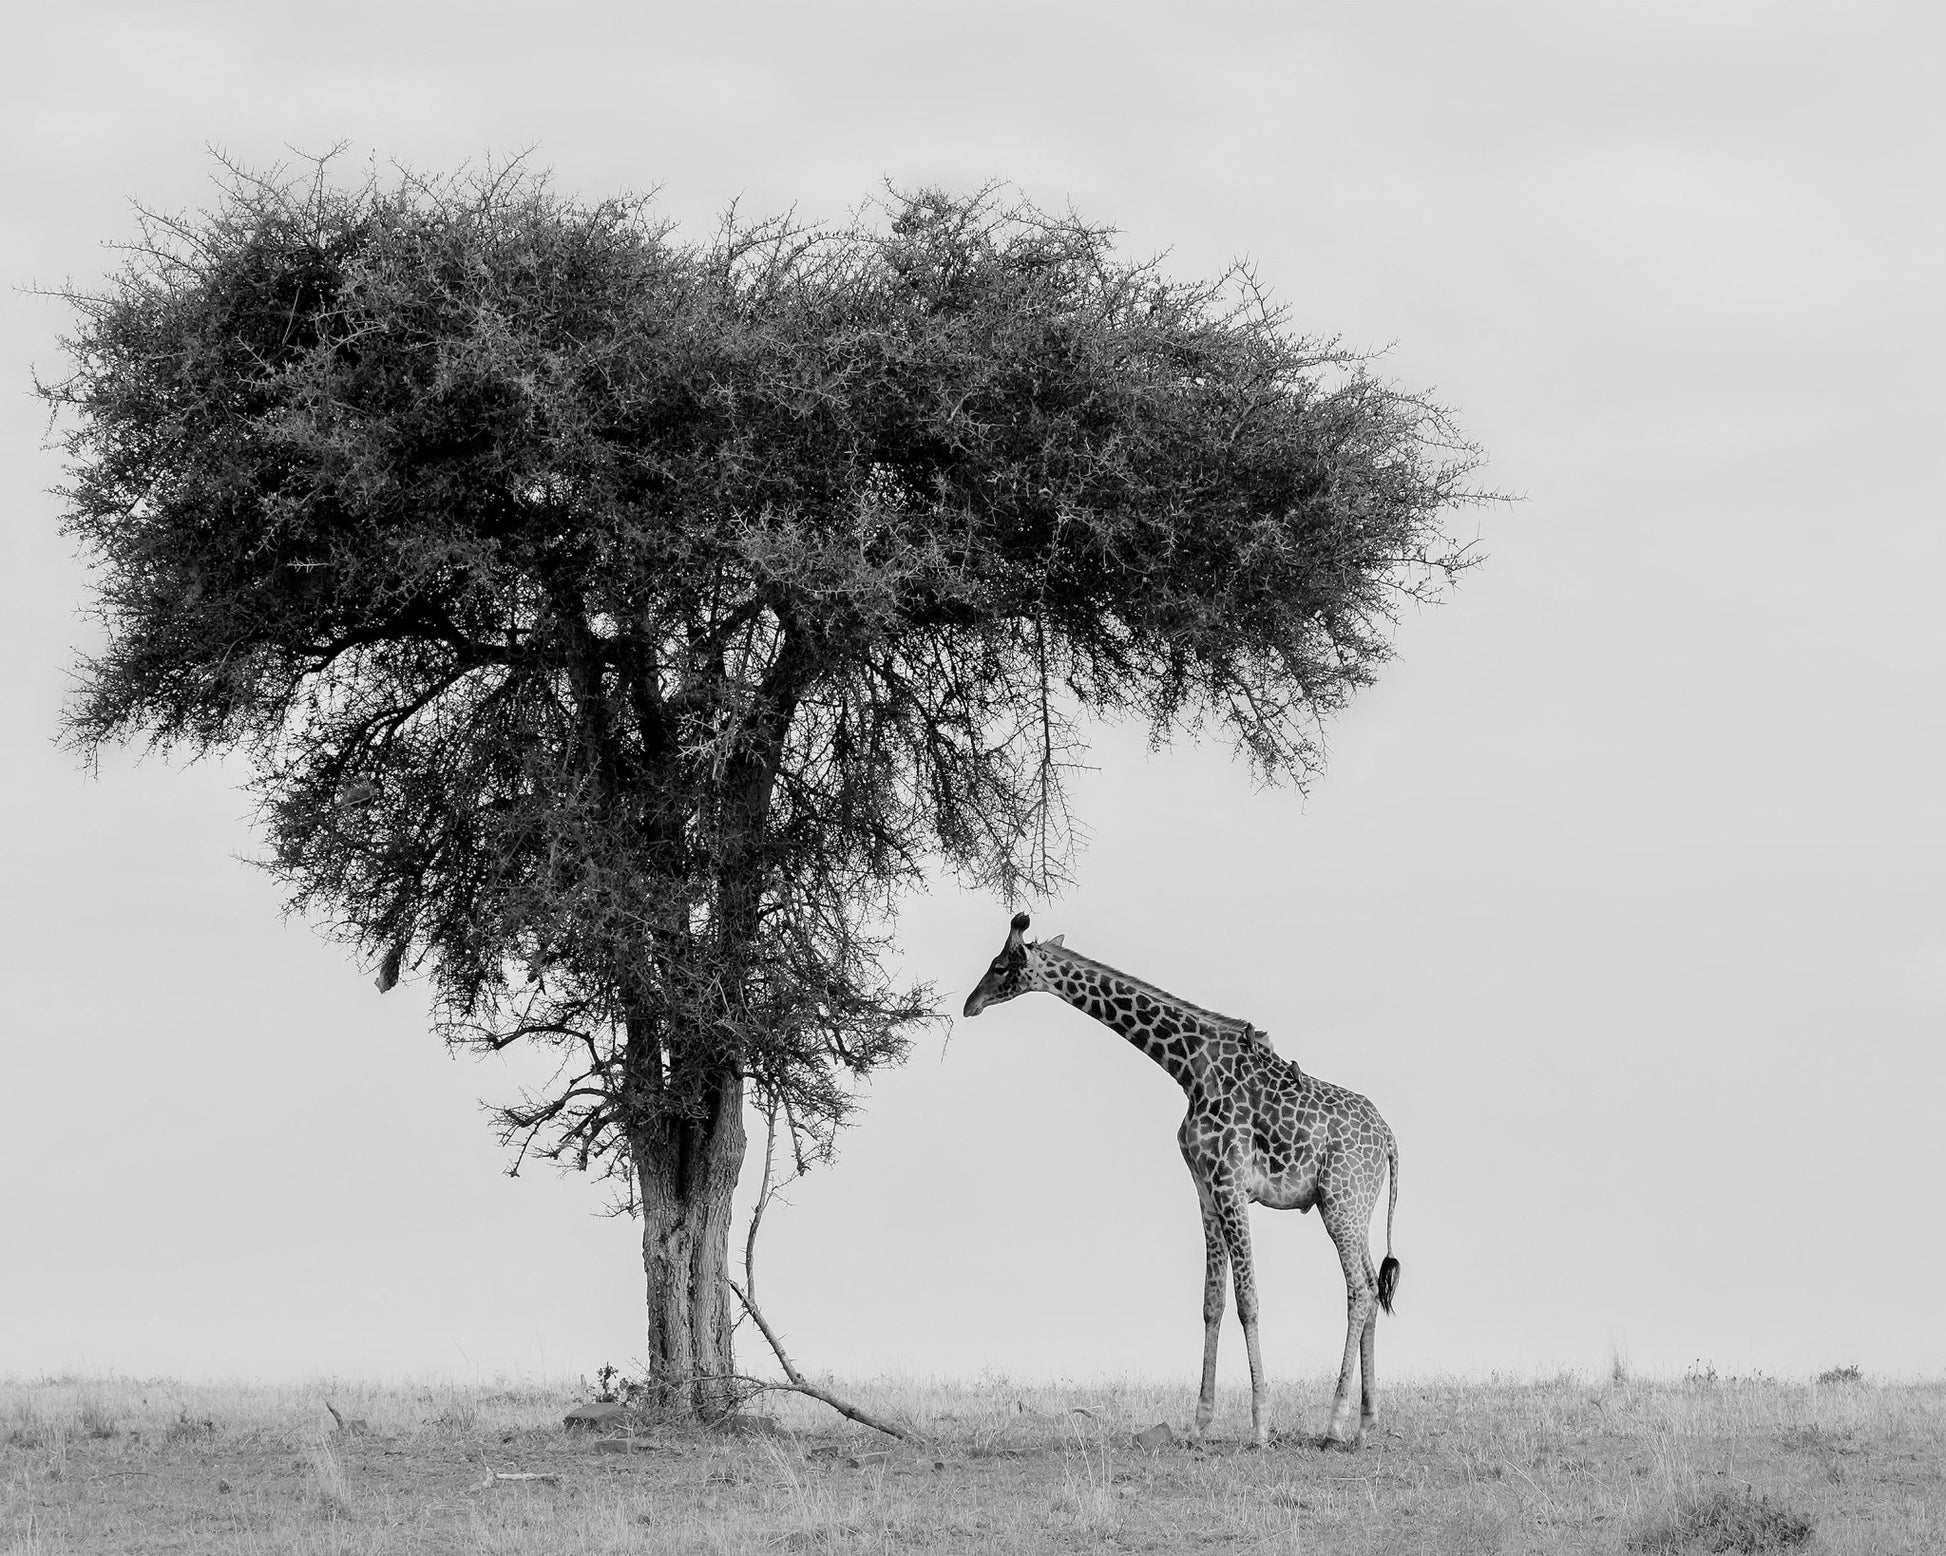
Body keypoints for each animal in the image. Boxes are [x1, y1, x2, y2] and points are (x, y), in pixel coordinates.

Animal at [962, 912, 1401, 1450]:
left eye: (1002, 965)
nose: (969, 1004)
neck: (1188, 1067)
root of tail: (1388, 1136)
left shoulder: (1231, 1184)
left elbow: (1248, 1301)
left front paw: (1260, 1426)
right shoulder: (1205, 1190)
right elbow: (1213, 1302)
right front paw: (1199, 1423)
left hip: (1341, 1201)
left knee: (1358, 1290)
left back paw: (1335, 1423)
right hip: (1353, 1205)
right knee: (1372, 1287)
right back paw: (1366, 1423)